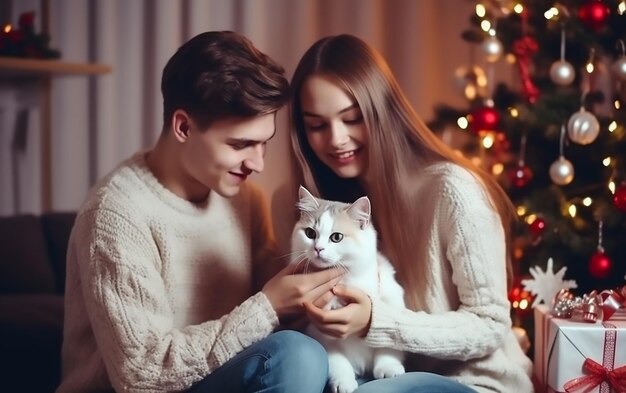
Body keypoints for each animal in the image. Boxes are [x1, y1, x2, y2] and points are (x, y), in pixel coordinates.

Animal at [292, 185, 408, 392]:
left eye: (336, 237)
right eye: (310, 234)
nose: (318, 249)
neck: (345, 281)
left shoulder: (391, 302)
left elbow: (388, 345)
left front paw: (388, 369)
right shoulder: (321, 333)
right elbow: (338, 362)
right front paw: (343, 383)